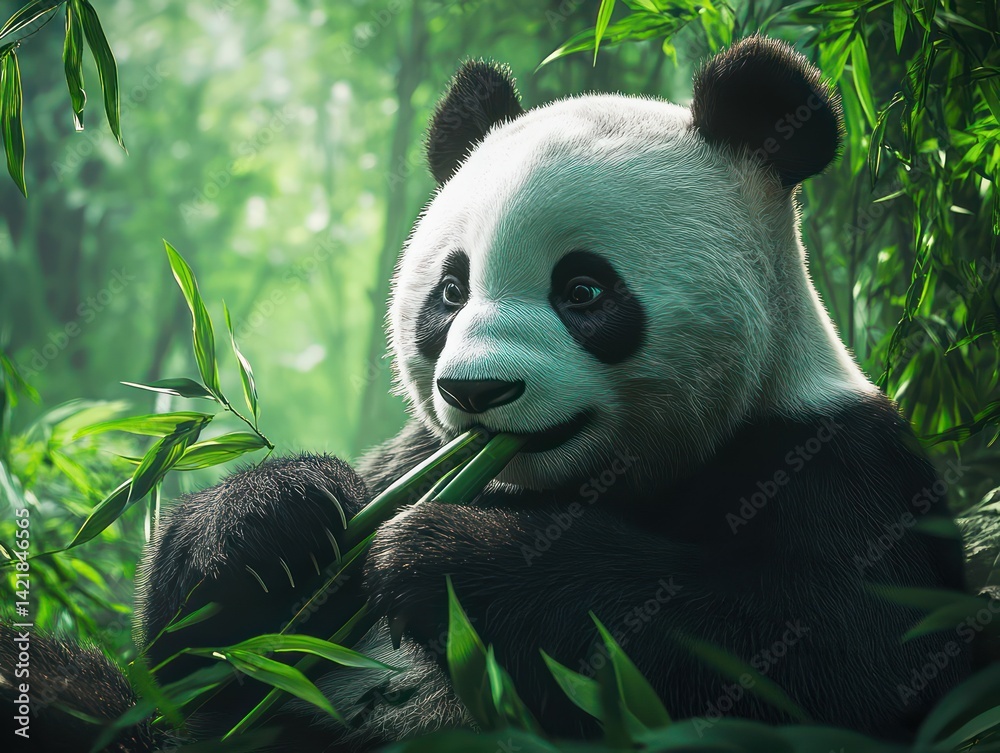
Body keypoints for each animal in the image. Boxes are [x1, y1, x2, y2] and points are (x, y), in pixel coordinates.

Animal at [2, 35, 973, 752]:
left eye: (584, 290)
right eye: (450, 290)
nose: (477, 390)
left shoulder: (832, 456)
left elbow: (834, 651)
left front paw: (444, 555)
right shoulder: (417, 448)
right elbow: (195, 668)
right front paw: (279, 518)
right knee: (69, 693)